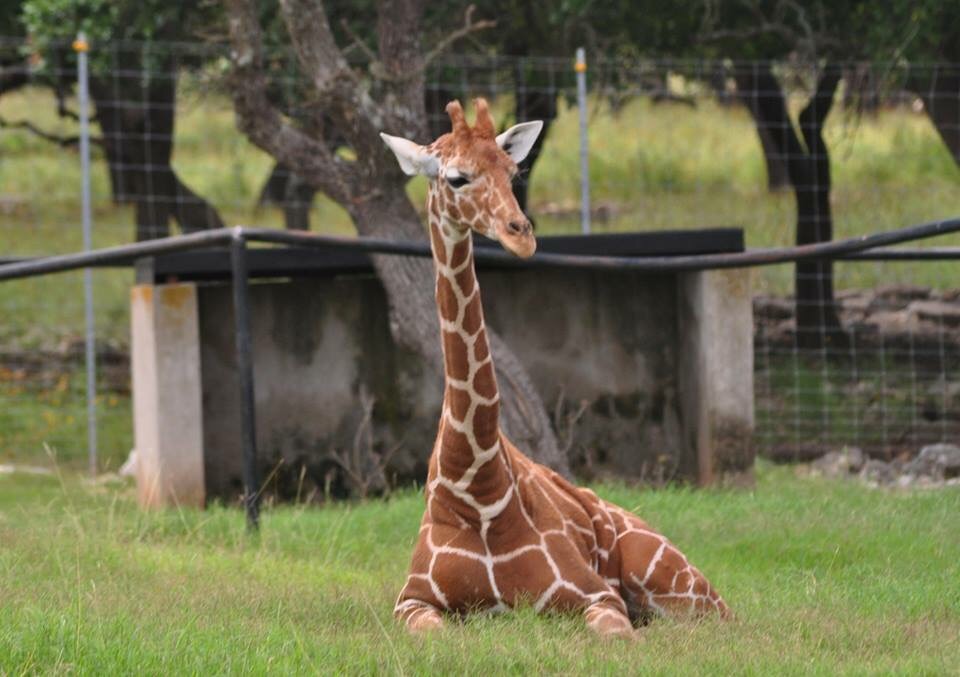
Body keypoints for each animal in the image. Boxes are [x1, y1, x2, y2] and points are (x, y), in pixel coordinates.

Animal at [380, 99, 730, 639]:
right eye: (457, 177)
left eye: (513, 172)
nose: (521, 235)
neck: (476, 484)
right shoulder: (413, 601)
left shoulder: (597, 595)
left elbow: (614, 635)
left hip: (683, 589)